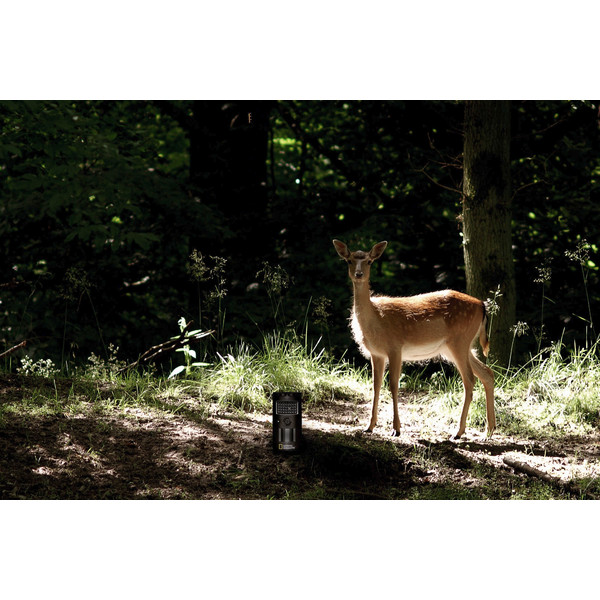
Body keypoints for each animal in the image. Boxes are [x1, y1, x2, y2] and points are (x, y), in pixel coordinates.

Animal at [330, 239, 494, 440]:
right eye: (349, 260)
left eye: (369, 261)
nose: (359, 274)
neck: (376, 319)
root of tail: (482, 305)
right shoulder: (376, 353)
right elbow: (376, 386)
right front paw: (369, 426)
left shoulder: (395, 347)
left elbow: (393, 385)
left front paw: (396, 429)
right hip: (456, 347)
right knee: (487, 373)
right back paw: (489, 430)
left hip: (460, 341)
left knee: (469, 380)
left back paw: (458, 431)